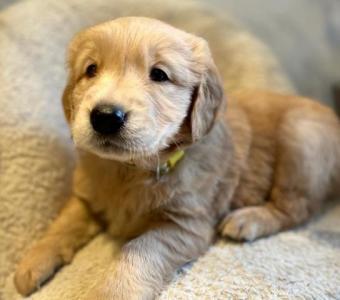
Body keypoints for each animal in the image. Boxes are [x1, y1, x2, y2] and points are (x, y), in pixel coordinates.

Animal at [13, 17, 340, 300]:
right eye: (91, 69)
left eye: (159, 75)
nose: (105, 116)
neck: (129, 169)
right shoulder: (86, 195)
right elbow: (63, 223)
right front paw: (31, 263)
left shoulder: (185, 225)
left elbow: (139, 249)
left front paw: (112, 293)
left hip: (302, 139)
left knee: (296, 208)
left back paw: (249, 220)